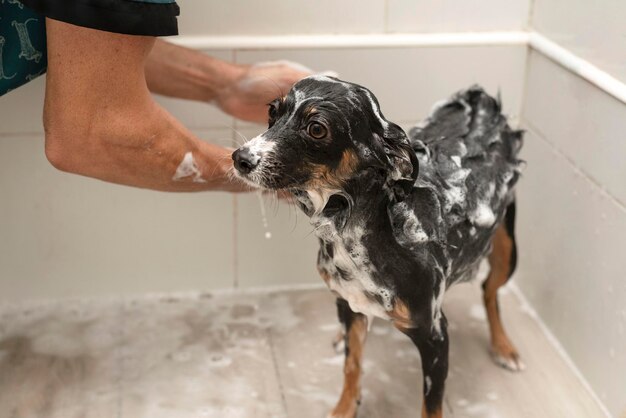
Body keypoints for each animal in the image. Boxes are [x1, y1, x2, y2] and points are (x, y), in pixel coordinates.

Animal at [229, 76, 520, 418]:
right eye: (273, 112)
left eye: (316, 128)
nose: (241, 158)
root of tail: (481, 101)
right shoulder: (351, 302)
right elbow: (352, 365)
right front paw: (344, 408)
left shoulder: (435, 336)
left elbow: (430, 408)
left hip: (507, 251)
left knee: (490, 289)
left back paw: (504, 346)